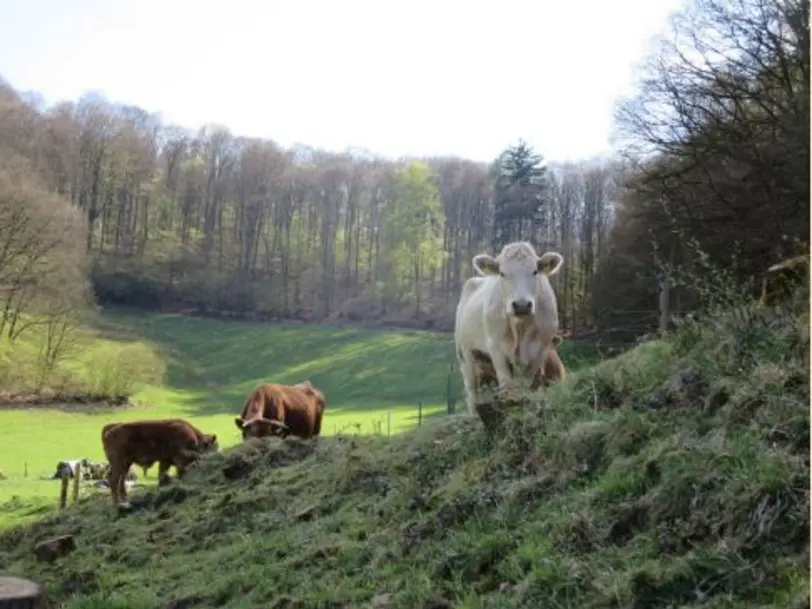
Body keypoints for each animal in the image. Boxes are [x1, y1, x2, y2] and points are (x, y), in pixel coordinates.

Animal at [456, 240, 564, 416]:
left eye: (535, 271)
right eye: (502, 273)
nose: (521, 305)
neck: (520, 328)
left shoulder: (541, 349)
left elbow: (525, 384)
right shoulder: (496, 348)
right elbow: (507, 385)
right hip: (465, 356)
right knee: (472, 393)